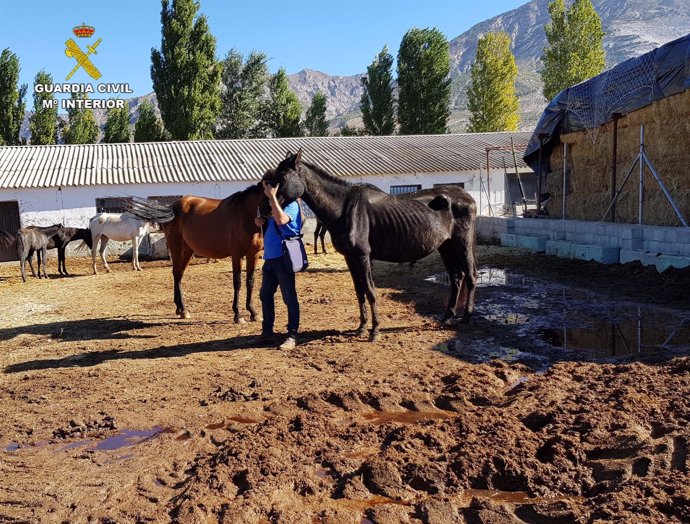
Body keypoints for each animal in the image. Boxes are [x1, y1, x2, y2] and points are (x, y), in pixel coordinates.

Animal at [126, 184, 264, 324]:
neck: (246, 213)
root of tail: (171, 208)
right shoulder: (236, 255)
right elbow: (237, 282)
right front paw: (238, 315)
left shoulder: (254, 254)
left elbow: (250, 281)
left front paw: (253, 312)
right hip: (176, 247)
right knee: (177, 274)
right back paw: (183, 310)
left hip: (187, 251)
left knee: (178, 274)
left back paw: (179, 309)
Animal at [260, 149, 476, 342]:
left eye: (282, 176)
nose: (263, 209)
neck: (343, 209)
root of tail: (466, 197)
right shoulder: (350, 258)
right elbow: (360, 292)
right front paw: (362, 327)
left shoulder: (363, 257)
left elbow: (370, 291)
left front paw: (375, 331)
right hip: (446, 246)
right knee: (457, 277)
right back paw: (447, 316)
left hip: (462, 243)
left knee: (470, 275)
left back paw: (466, 317)